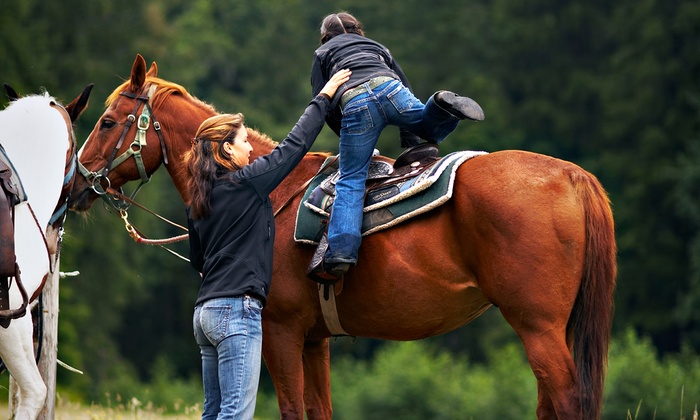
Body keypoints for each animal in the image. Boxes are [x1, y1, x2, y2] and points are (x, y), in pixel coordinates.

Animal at [68, 54, 616, 418]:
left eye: (107, 121)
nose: (75, 183)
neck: (274, 188)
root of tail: (573, 176)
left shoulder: (281, 333)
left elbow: (292, 410)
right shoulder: (315, 340)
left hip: (537, 325)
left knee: (568, 400)